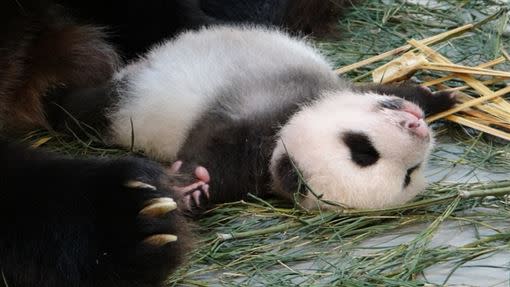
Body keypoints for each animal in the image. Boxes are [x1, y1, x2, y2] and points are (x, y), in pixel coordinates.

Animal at [53, 25, 456, 213]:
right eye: (363, 150)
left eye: (409, 174)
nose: (417, 128)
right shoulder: (257, 110)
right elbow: (212, 143)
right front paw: (190, 186)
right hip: (130, 97)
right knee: (93, 107)